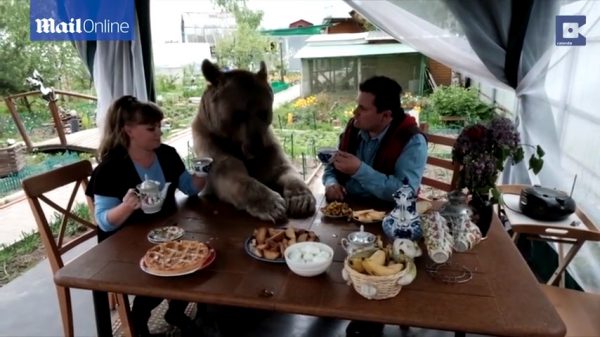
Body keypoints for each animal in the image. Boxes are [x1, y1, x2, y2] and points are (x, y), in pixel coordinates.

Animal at [192, 59, 316, 223]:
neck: (236, 144)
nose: (256, 147)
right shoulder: (211, 142)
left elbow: (284, 168)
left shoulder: (269, 144)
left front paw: (301, 200)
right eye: (238, 115)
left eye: (264, 112)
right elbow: (229, 174)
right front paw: (273, 205)